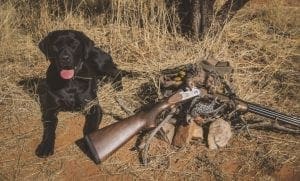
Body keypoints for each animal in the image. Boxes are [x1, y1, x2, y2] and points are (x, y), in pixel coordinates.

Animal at [35, 29, 122, 157]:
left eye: (74, 44)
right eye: (56, 45)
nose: (65, 58)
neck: (69, 83)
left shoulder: (93, 106)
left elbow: (90, 126)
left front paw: (91, 144)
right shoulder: (50, 109)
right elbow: (49, 128)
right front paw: (46, 145)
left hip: (100, 63)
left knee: (117, 72)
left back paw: (118, 87)